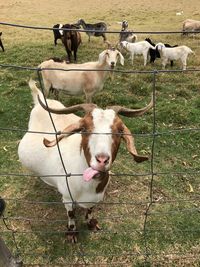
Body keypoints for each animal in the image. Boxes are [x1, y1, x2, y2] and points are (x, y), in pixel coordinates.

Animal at [18, 79, 153, 243]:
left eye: (119, 131)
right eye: (84, 128)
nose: (102, 160)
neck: (89, 186)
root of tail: (41, 101)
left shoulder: (96, 198)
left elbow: (90, 210)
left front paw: (91, 224)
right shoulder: (67, 198)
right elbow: (71, 215)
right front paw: (72, 233)